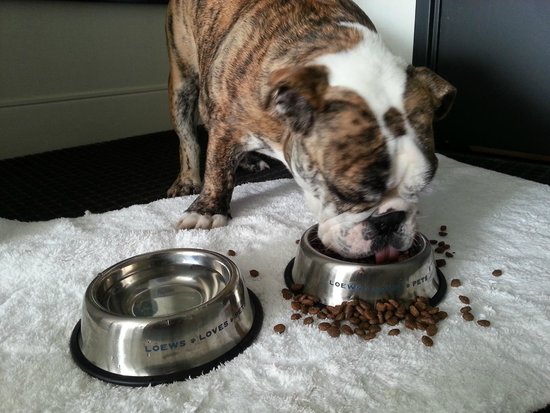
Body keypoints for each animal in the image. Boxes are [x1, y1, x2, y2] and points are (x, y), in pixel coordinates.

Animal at [165, 0, 456, 262]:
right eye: (345, 194)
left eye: (422, 187)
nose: (390, 220)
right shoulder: (226, 123)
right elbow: (217, 167)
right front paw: (207, 211)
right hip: (182, 76)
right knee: (187, 134)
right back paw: (188, 179)